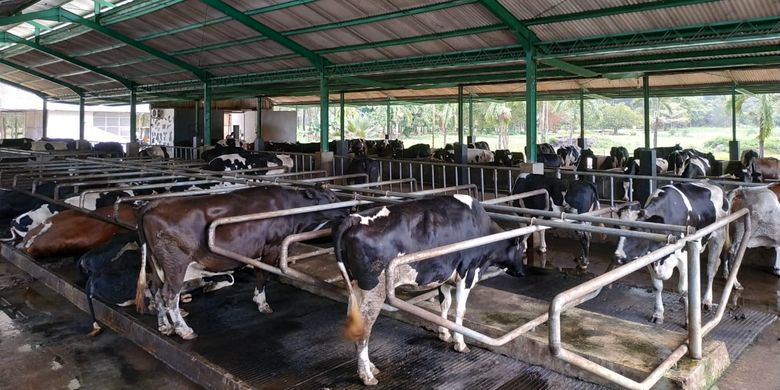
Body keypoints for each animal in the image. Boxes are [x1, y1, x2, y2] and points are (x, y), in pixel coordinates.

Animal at [137, 184, 348, 340]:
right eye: (331, 198)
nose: (349, 210)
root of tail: (154, 204)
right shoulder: (272, 246)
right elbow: (263, 275)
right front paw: (262, 303)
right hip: (176, 264)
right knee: (170, 295)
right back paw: (184, 330)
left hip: (157, 265)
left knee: (156, 290)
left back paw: (164, 326)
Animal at [332, 197, 528, 386]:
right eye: (523, 250)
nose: (522, 273)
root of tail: (354, 218)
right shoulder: (467, 273)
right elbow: (460, 310)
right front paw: (459, 343)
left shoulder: (445, 275)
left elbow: (445, 304)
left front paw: (444, 333)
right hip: (373, 289)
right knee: (364, 330)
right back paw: (367, 375)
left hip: (356, 287)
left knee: (355, 323)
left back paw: (370, 366)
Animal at [616, 182, 732, 322]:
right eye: (617, 226)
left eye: (637, 228)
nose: (618, 255)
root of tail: (716, 184)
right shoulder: (651, 257)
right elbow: (657, 286)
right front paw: (658, 314)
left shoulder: (684, 257)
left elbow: (683, 289)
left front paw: (688, 320)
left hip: (718, 236)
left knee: (711, 269)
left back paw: (707, 301)